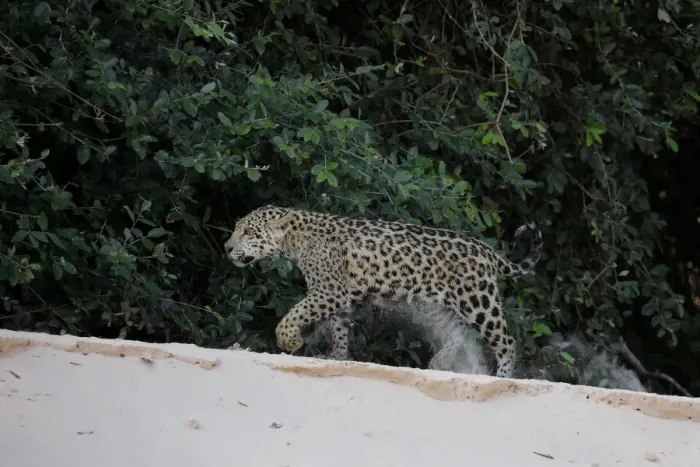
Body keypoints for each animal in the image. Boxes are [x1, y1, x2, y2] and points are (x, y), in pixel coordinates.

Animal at [224, 204, 543, 378]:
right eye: (238, 229)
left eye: (248, 232)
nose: (227, 248)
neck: (292, 240)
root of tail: (487, 250)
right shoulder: (339, 296)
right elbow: (338, 328)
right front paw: (337, 355)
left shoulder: (329, 290)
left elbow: (294, 315)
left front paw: (290, 341)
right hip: (438, 304)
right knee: (460, 330)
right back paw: (439, 362)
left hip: (479, 300)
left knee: (506, 341)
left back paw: (502, 376)